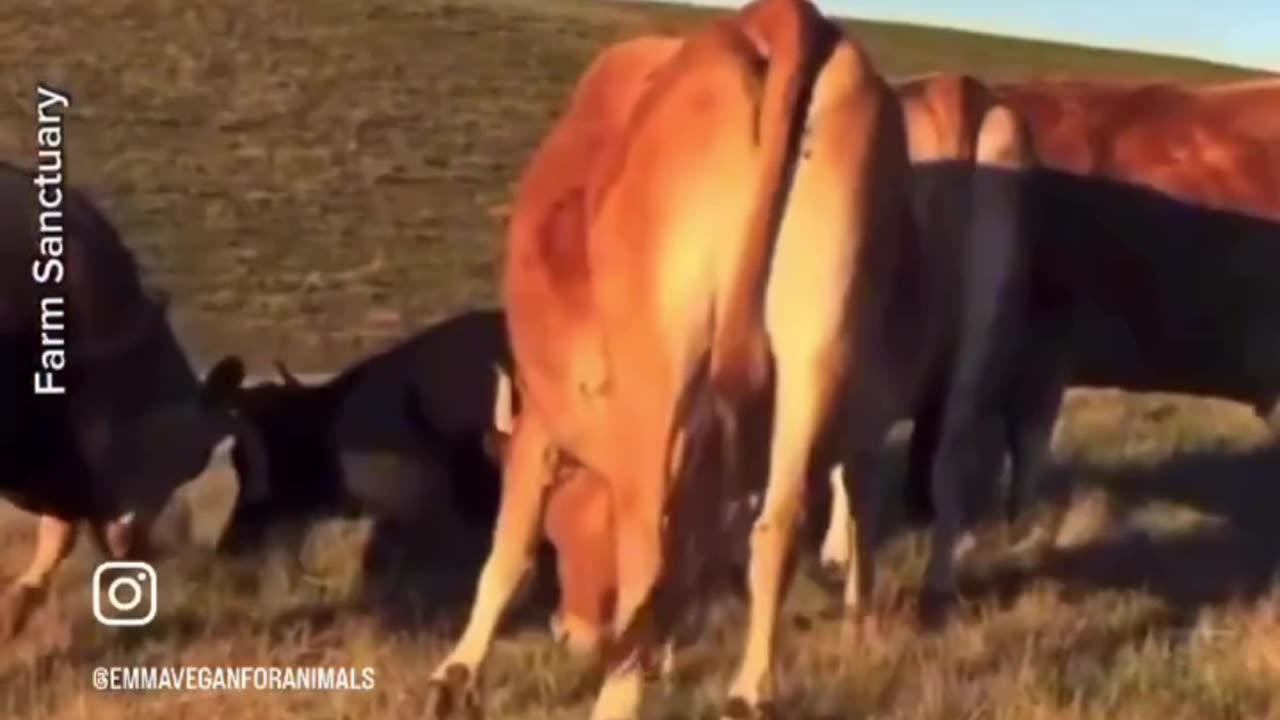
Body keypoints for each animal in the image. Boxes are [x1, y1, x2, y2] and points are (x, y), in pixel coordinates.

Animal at [424, 2, 926, 712]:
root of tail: (781, 20)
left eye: (563, 534)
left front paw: (458, 670)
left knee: (651, 552)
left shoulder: (545, 419)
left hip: (662, 380)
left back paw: (618, 700)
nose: (569, 632)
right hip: (818, 353)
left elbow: (507, 552)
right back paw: (750, 690)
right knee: (781, 523)